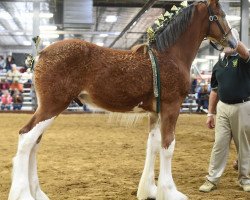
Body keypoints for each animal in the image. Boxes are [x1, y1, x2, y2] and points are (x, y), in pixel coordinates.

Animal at [8, 0, 237, 200]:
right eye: (222, 15)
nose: (233, 43)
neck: (170, 56)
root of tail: (42, 53)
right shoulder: (171, 108)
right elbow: (168, 146)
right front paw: (170, 192)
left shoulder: (155, 112)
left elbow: (153, 145)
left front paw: (149, 190)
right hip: (52, 106)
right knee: (26, 137)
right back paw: (24, 194)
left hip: (48, 109)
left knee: (34, 143)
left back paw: (38, 193)